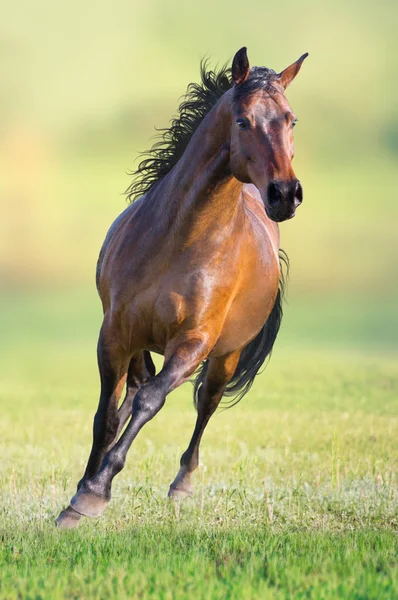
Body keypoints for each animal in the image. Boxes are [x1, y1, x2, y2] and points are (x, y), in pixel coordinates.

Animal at [56, 44, 306, 528]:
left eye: (291, 120)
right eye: (243, 120)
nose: (285, 194)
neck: (182, 240)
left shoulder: (193, 343)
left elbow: (151, 402)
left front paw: (94, 492)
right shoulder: (115, 333)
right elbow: (106, 416)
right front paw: (79, 496)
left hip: (225, 357)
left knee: (204, 404)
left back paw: (182, 484)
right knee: (133, 390)